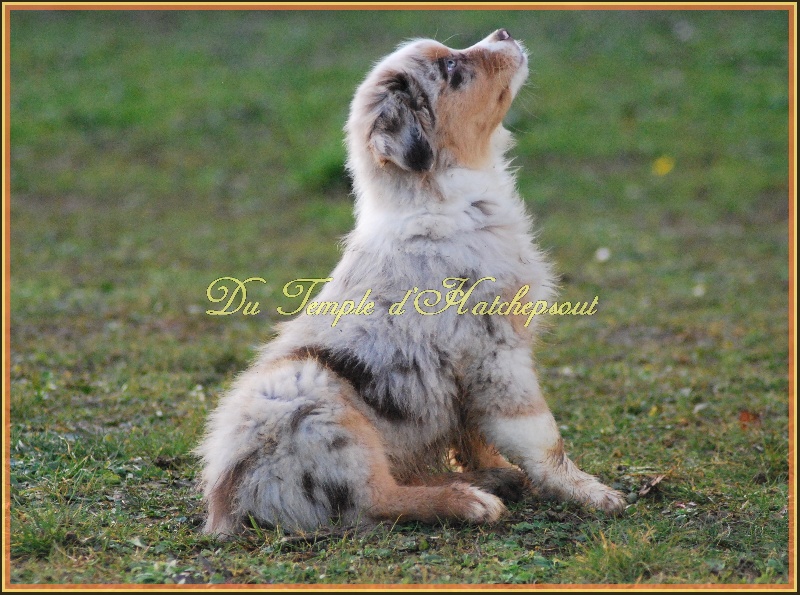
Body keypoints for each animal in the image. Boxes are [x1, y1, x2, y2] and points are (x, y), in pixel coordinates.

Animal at [195, 30, 624, 536]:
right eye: (451, 71)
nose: (503, 34)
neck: (441, 202)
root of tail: (227, 501)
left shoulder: (468, 377)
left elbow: (473, 432)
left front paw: (494, 467)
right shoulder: (496, 353)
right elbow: (543, 438)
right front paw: (592, 493)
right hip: (314, 399)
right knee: (375, 500)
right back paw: (468, 501)